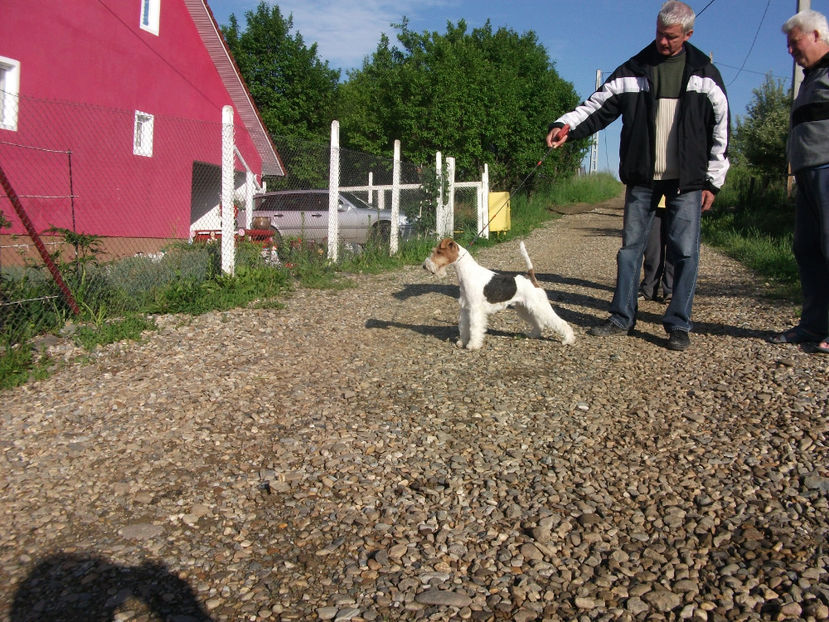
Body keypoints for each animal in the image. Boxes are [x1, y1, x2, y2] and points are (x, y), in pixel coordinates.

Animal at [420, 239, 576, 352]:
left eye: (438, 251)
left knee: (560, 322)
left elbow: (474, 328)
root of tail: (532, 279)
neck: (467, 272)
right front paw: (461, 342)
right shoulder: (465, 308)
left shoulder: (475, 310)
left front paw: (472, 345)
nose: (424, 266)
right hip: (523, 308)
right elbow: (464, 327)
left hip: (539, 305)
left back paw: (568, 339)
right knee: (538, 322)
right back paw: (533, 334)